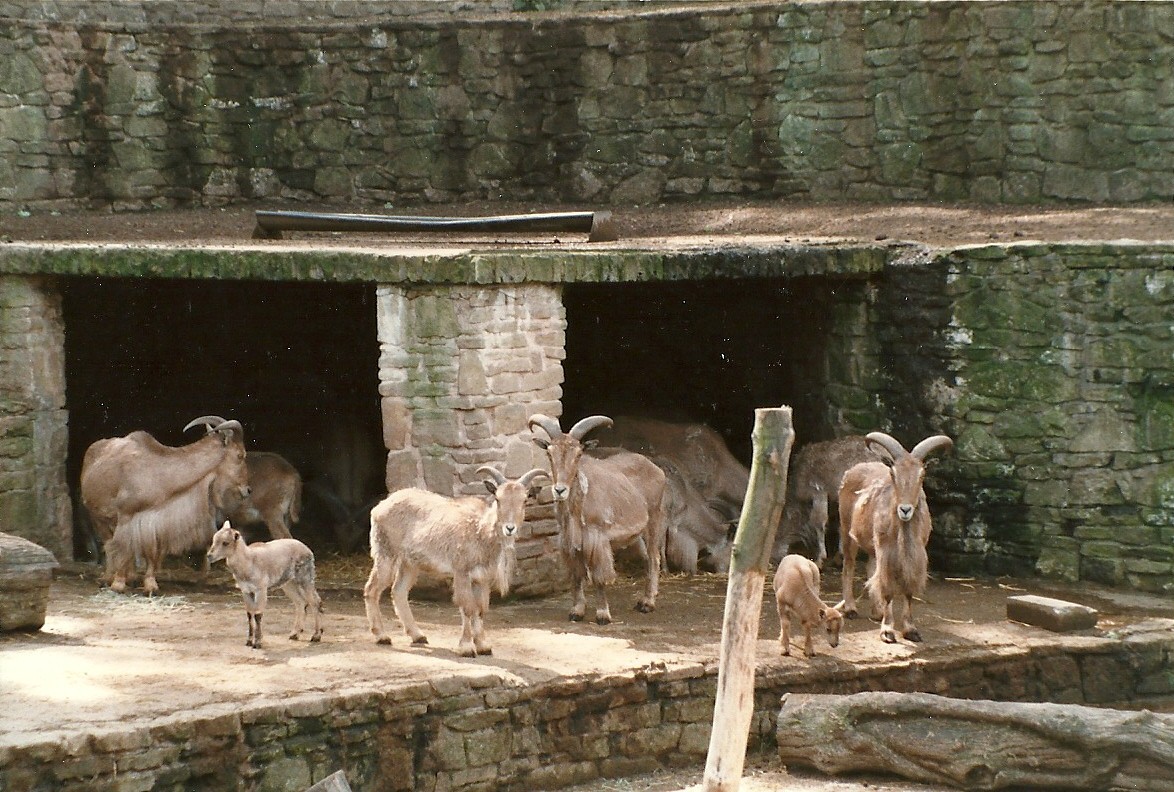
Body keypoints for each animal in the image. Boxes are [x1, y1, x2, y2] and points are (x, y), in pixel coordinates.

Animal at [206, 521, 322, 649]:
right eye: (214, 540)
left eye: (225, 543)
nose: (209, 556)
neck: (248, 562)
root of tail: (308, 549)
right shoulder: (246, 590)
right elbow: (249, 614)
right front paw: (249, 641)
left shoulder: (260, 589)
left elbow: (258, 615)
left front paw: (257, 643)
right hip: (289, 583)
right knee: (301, 603)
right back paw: (294, 634)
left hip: (305, 578)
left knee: (315, 602)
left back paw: (316, 636)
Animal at [363, 466, 548, 657]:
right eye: (498, 498)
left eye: (524, 500)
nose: (509, 528)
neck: (480, 530)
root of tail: (380, 506)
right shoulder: (461, 572)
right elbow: (467, 607)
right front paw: (466, 647)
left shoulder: (482, 578)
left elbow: (480, 609)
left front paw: (483, 646)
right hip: (386, 553)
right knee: (372, 589)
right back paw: (382, 636)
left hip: (410, 563)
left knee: (398, 591)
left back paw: (418, 635)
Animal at [529, 414, 667, 624]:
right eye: (549, 454)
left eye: (578, 455)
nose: (560, 490)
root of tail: (655, 468)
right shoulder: (571, 543)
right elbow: (577, 576)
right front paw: (576, 611)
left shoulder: (597, 539)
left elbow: (599, 577)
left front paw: (603, 614)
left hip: (654, 519)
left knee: (654, 558)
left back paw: (647, 603)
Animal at [837, 431, 953, 644]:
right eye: (893, 474)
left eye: (921, 475)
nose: (905, 510)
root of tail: (851, 471)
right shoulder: (887, 555)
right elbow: (888, 589)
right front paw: (887, 631)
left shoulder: (915, 557)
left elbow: (908, 591)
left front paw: (911, 630)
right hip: (847, 531)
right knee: (848, 566)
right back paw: (850, 609)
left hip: (872, 545)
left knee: (870, 567)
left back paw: (876, 611)